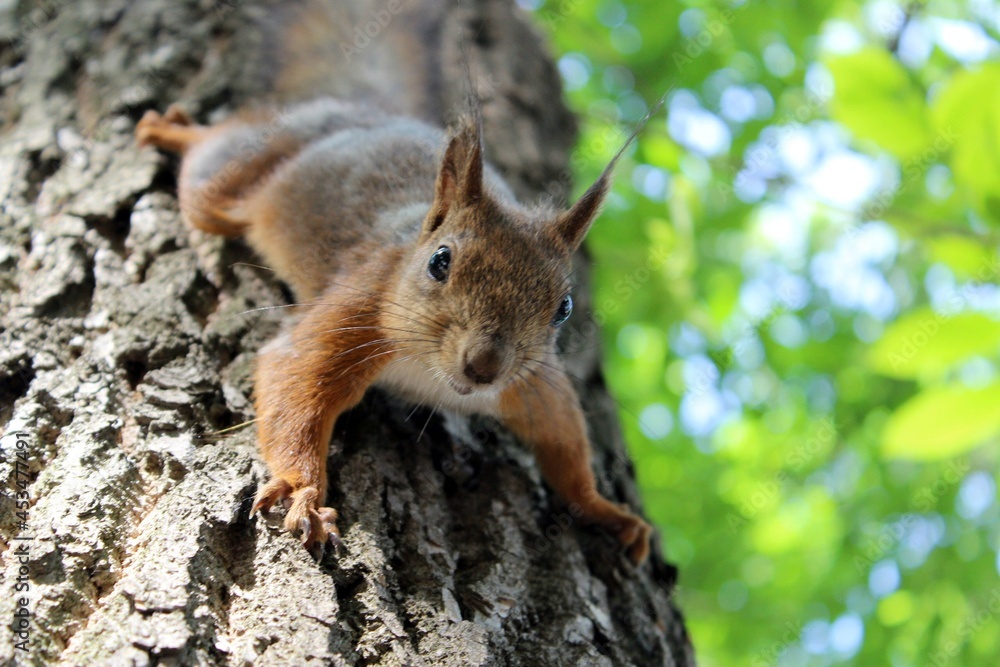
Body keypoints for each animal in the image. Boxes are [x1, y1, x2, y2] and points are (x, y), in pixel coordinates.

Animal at [137, 91, 656, 568]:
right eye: (440, 261)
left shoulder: (534, 384)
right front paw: (302, 491)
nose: (484, 367)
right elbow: (296, 380)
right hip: (227, 184)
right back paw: (171, 129)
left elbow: (565, 446)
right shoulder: (359, 309)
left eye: (564, 308)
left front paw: (606, 511)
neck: (432, 374)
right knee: (205, 161)